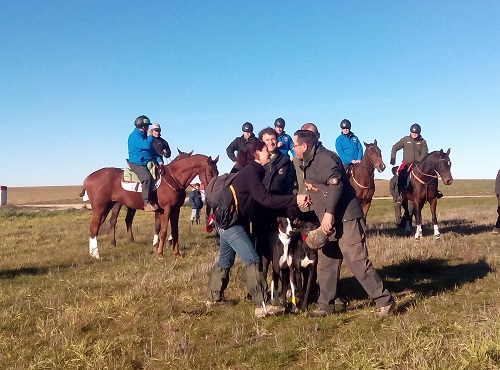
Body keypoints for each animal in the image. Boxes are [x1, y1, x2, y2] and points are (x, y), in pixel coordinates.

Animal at [79, 155, 218, 258]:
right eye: (210, 173)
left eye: (217, 173)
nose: (212, 190)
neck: (173, 178)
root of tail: (89, 178)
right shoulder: (166, 209)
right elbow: (163, 231)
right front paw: (160, 253)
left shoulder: (175, 210)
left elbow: (174, 231)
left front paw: (177, 253)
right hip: (101, 208)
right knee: (95, 227)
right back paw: (97, 254)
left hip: (105, 208)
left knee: (96, 228)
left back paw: (93, 253)